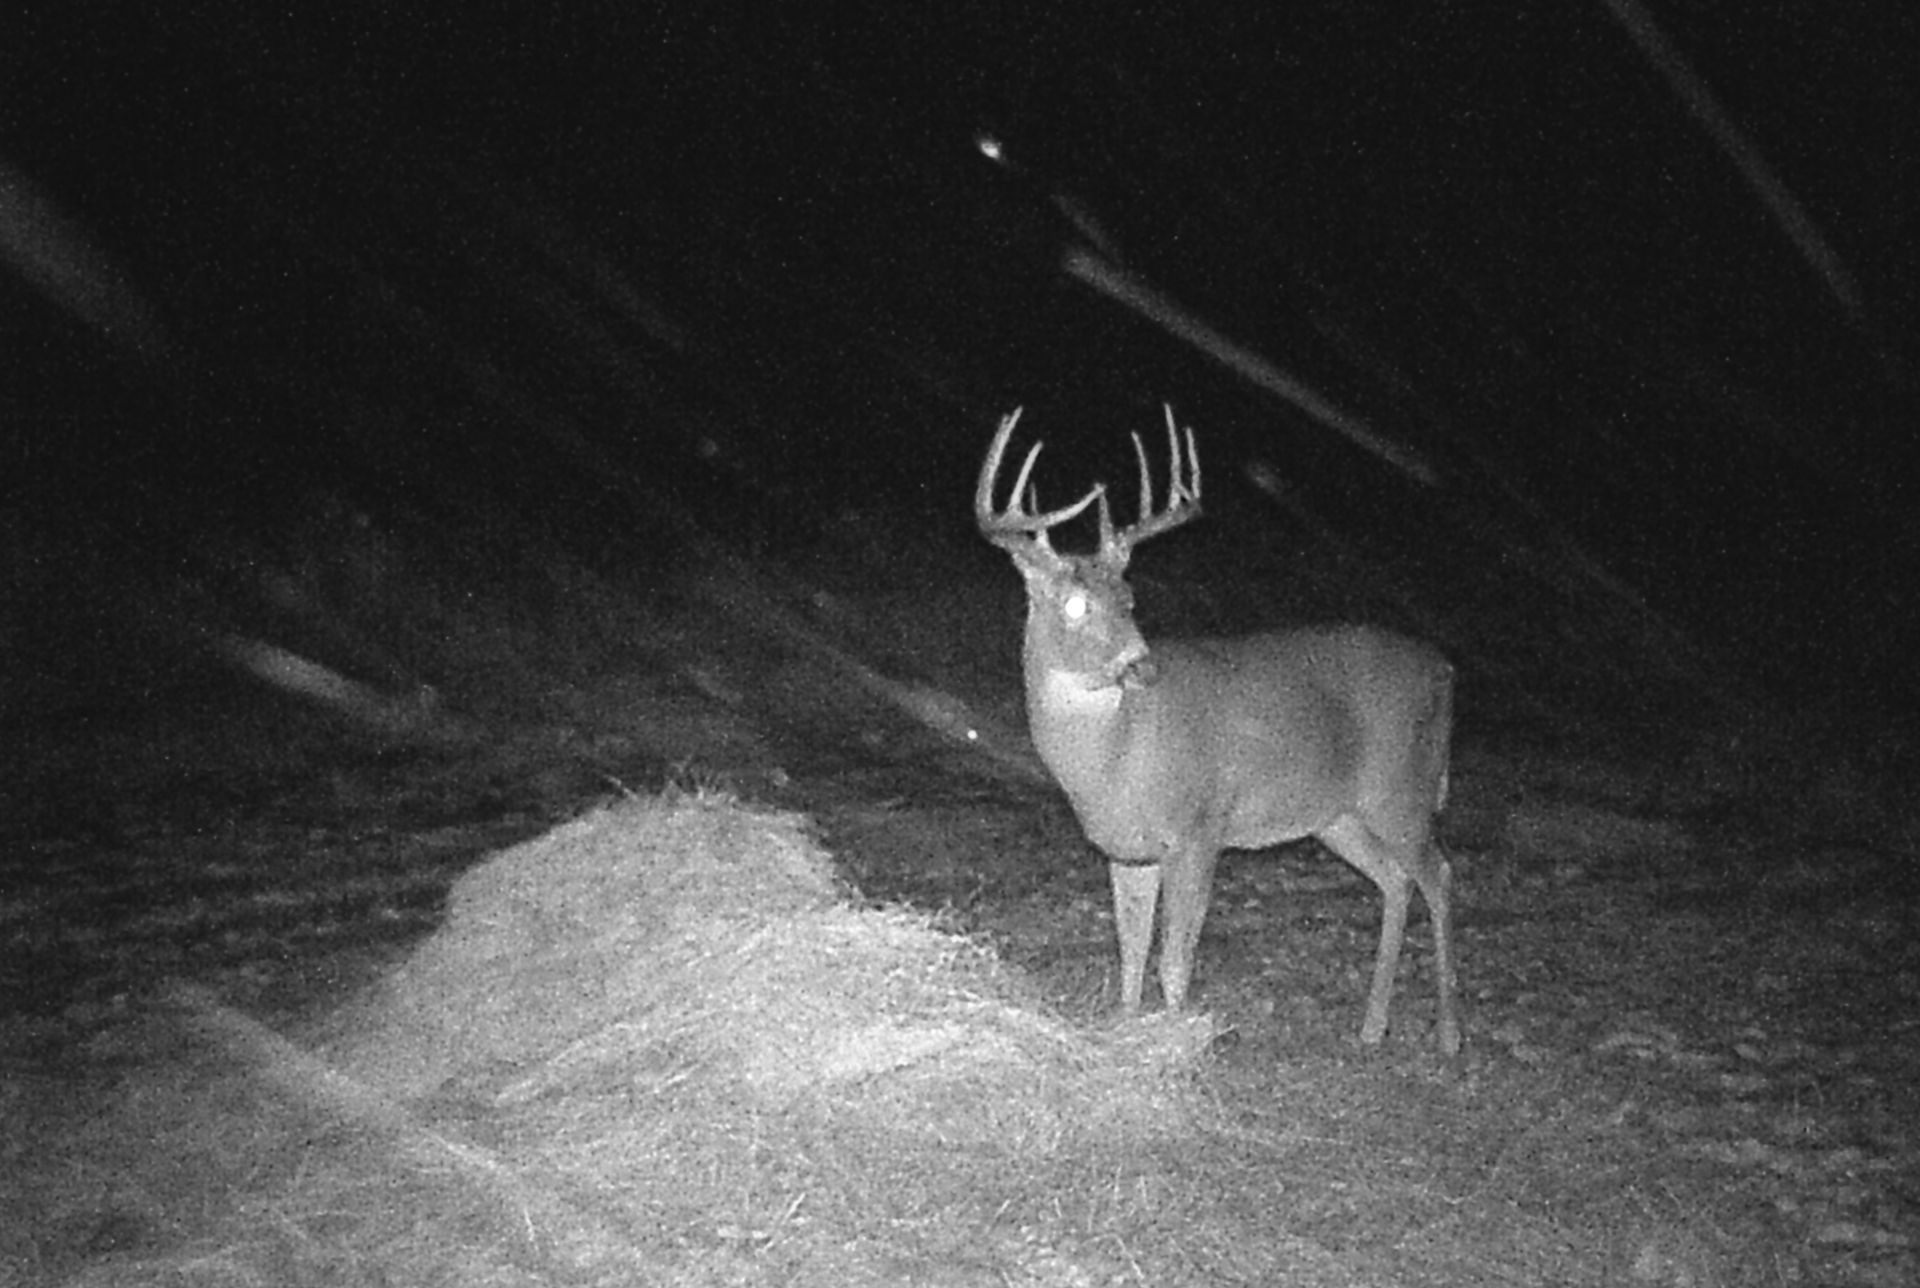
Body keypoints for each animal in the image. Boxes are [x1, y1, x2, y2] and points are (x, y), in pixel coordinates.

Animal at [976, 406, 1461, 1054]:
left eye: (1129, 597)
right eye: (1075, 605)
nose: (1143, 665)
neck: (1119, 754)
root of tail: (1446, 671)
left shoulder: (1199, 828)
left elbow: (1174, 959)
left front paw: (1182, 1041)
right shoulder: (1128, 849)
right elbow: (1131, 951)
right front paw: (1127, 1031)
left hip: (1400, 789)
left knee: (1439, 875)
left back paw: (1450, 1035)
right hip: (1338, 815)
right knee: (1396, 881)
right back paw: (1371, 1027)